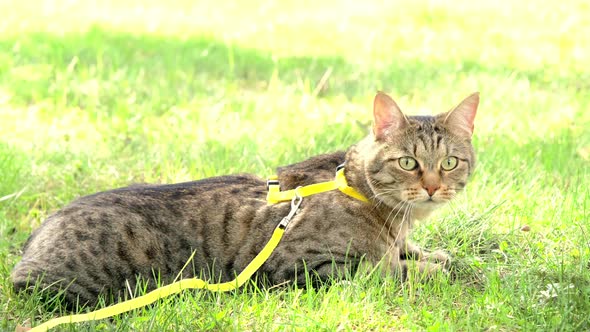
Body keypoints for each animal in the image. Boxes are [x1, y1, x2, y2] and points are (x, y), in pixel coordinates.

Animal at [10, 91, 480, 308]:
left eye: (450, 162)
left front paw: (437, 256)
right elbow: (385, 271)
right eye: (409, 163)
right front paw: (428, 270)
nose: (434, 187)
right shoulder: (304, 268)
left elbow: (419, 254)